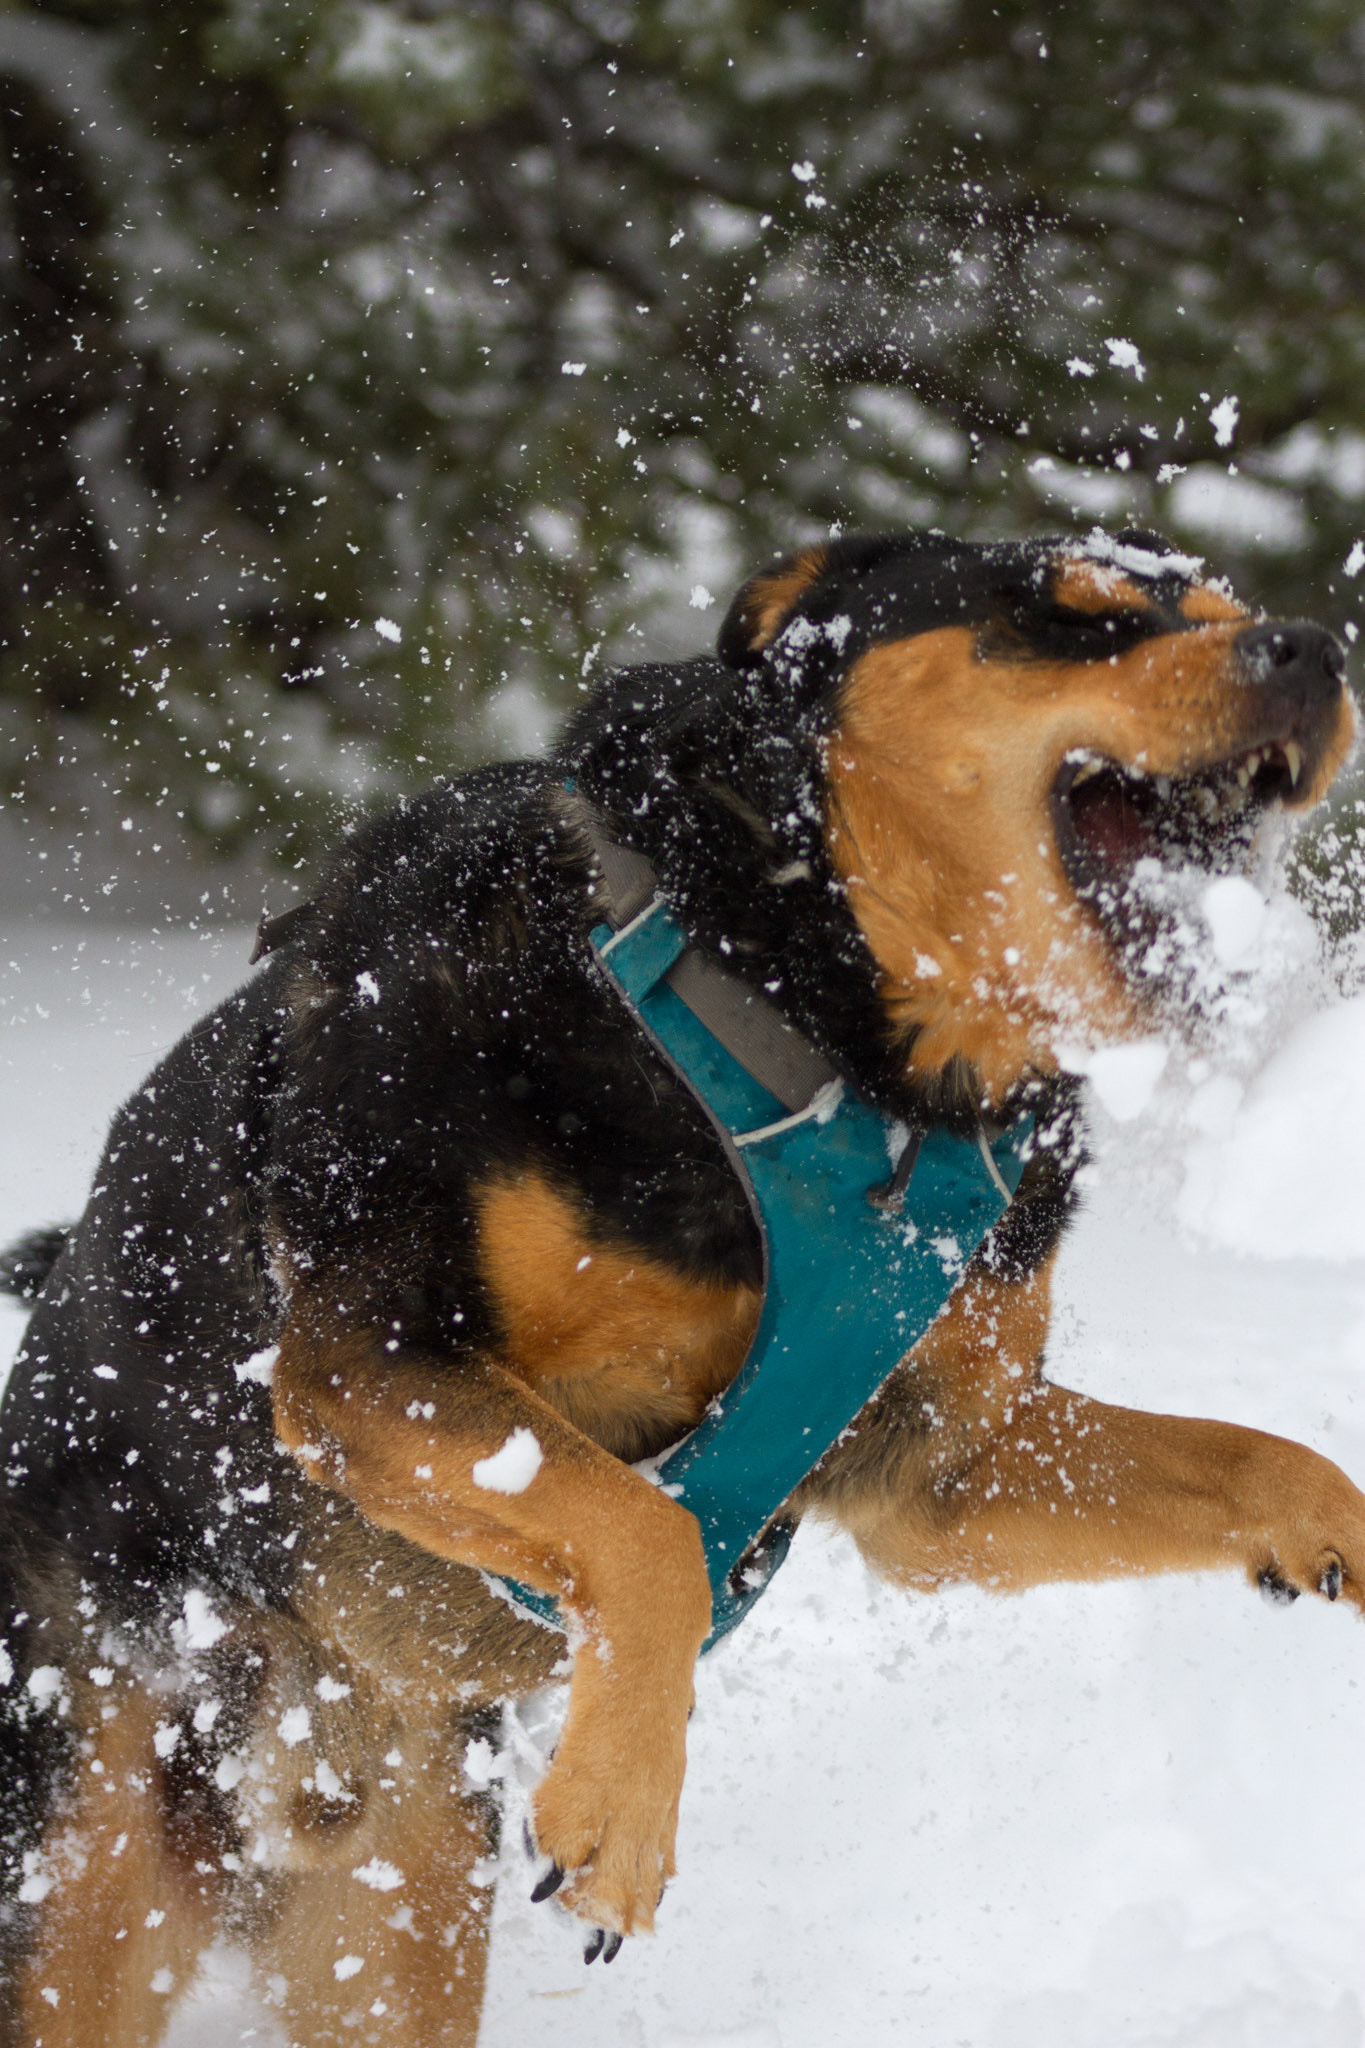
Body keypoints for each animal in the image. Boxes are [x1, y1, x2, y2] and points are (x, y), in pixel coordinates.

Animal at [2, 520, 1365, 2039]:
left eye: (1231, 606)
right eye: (1070, 610)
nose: (1317, 649)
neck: (849, 1056)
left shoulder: (937, 1464)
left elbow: (1270, 1459)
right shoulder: (367, 1353)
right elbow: (645, 1532)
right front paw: (621, 1813)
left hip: (392, 1920)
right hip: (87, 1863)